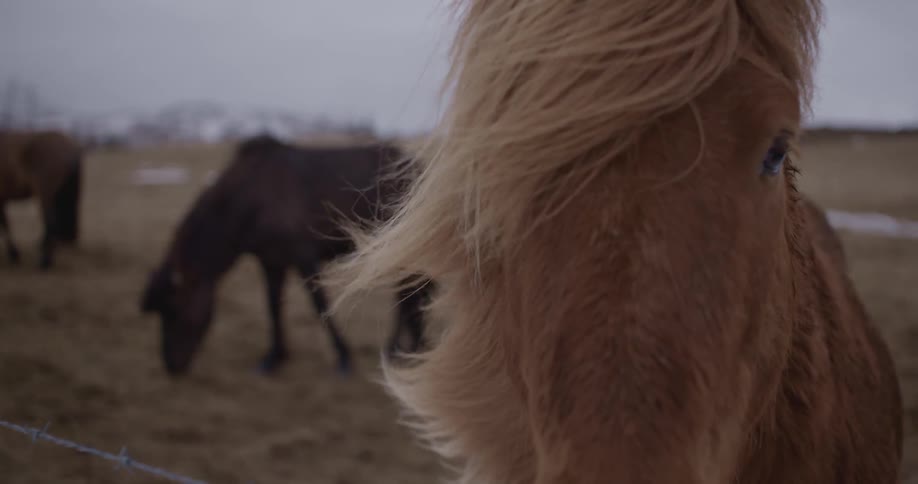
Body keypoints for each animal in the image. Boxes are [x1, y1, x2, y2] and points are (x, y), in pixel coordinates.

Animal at [0, 130, 82, 270]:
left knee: (51, 224)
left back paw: (45, 261)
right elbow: (5, 223)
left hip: (46, 195)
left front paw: (14, 254)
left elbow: (5, 224)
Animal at [140, 135, 431, 377]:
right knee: (409, 297)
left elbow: (319, 304)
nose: (171, 366)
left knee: (410, 296)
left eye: (174, 309)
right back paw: (409, 347)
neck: (251, 200)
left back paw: (402, 349)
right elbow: (273, 306)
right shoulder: (271, 262)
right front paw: (274, 357)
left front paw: (343, 356)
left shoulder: (303, 258)